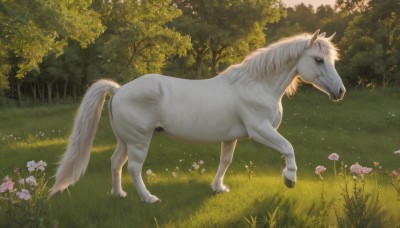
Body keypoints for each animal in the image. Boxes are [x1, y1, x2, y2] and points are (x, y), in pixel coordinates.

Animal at [49, 30, 344, 203]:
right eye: (318, 60)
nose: (339, 91)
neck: (255, 85)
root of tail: (119, 90)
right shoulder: (260, 130)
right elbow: (288, 148)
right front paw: (290, 179)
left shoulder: (232, 137)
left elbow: (225, 161)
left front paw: (218, 188)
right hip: (139, 141)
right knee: (133, 167)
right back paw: (149, 198)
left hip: (125, 140)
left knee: (115, 163)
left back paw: (118, 194)